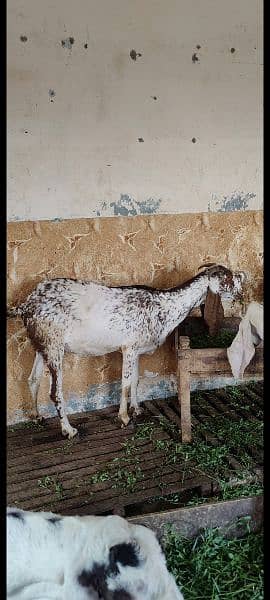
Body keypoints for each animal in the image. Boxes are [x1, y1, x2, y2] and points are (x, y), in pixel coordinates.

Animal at [7, 264, 245, 438]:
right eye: (228, 278)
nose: (243, 278)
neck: (164, 305)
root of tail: (26, 305)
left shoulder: (137, 349)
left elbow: (136, 381)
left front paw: (137, 409)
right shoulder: (128, 348)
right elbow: (125, 382)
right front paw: (123, 417)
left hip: (41, 344)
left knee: (33, 378)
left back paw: (36, 416)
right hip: (54, 345)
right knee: (55, 391)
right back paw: (69, 430)